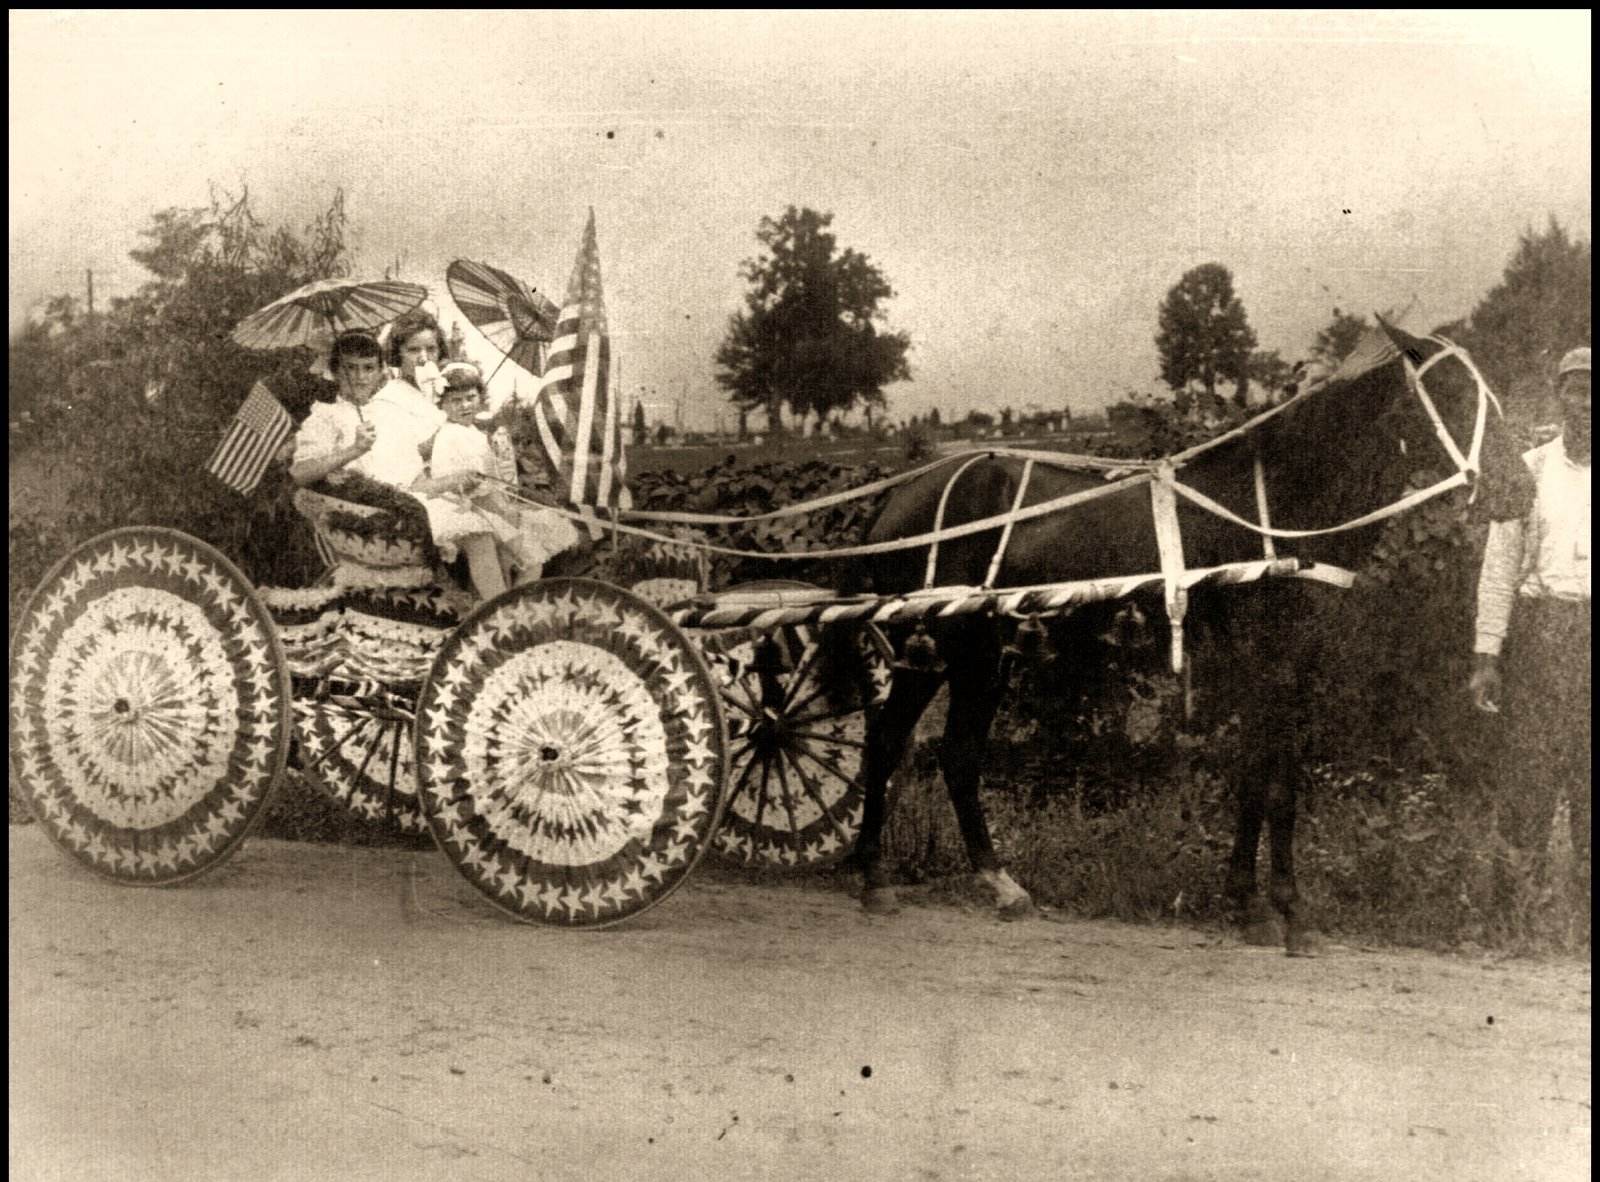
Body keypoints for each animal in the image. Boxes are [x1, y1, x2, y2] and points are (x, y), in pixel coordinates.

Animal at [847, 320, 1523, 953]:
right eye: (1452, 393)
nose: (1520, 488)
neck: (1275, 515)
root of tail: (895, 498)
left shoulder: (1294, 661)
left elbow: (1273, 775)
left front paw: (1270, 906)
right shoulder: (1263, 657)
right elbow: (1266, 776)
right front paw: (1266, 909)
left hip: (984, 656)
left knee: (956, 752)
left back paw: (999, 883)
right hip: (940, 650)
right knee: (888, 741)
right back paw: (874, 877)